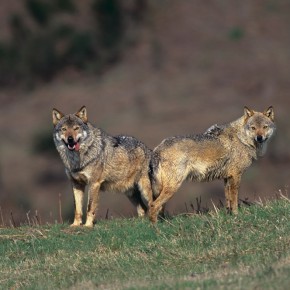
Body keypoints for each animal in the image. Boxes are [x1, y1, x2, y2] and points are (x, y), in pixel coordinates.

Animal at [148, 106, 276, 222]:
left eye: (264, 127)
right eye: (253, 128)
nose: (259, 137)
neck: (242, 139)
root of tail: (158, 149)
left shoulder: (227, 177)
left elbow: (228, 199)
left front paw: (229, 215)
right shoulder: (236, 176)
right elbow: (234, 199)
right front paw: (236, 215)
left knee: (158, 206)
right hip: (173, 186)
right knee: (153, 205)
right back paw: (156, 228)